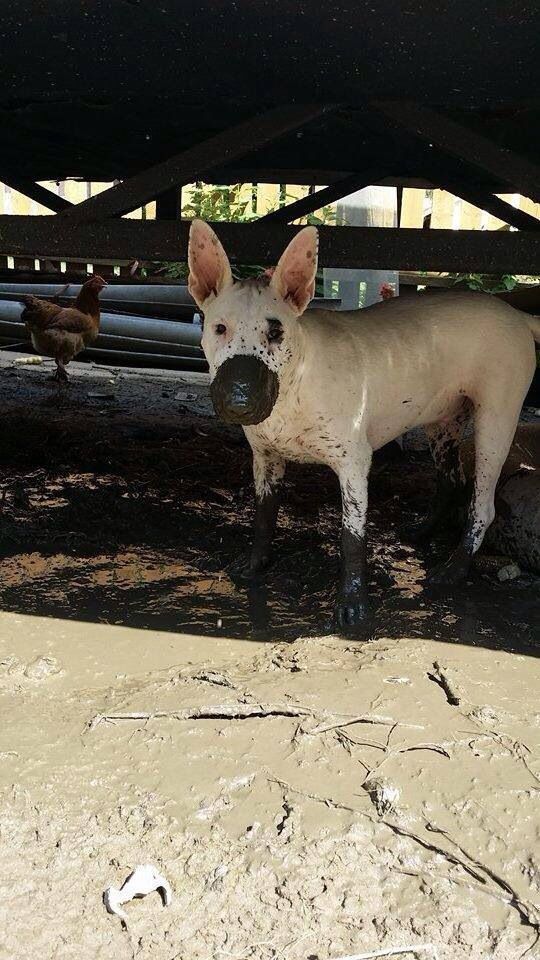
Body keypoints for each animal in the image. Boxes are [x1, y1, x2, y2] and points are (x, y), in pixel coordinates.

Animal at [188, 219, 536, 632]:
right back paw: (422, 531)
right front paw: (255, 564)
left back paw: (454, 568)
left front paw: (352, 606)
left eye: (275, 333)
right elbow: (263, 513)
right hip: (444, 419)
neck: (295, 386)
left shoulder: (354, 462)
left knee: (482, 505)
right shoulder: (265, 457)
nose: (240, 401)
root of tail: (517, 316)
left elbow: (351, 536)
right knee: (451, 479)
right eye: (219, 328)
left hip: (496, 420)